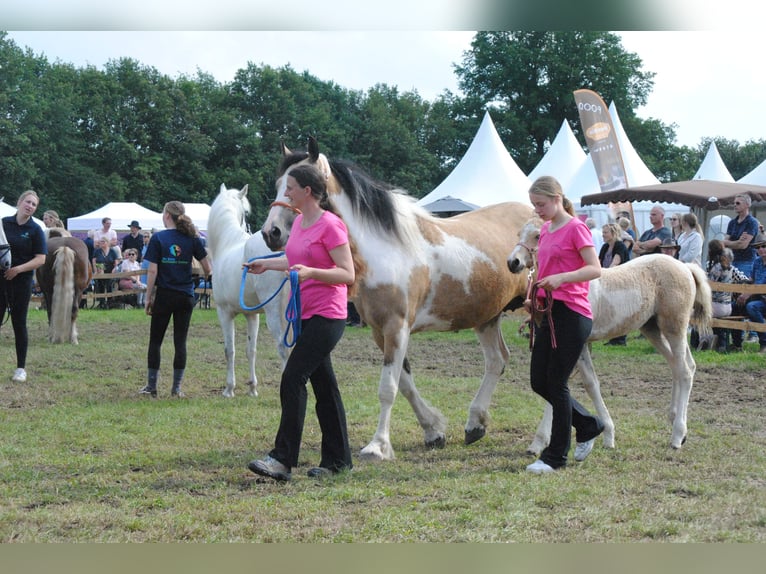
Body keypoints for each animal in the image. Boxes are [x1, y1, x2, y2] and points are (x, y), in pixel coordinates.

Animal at [207, 184, 290, 398]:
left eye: (245, 212)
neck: (227, 242)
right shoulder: (252, 315)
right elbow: (250, 350)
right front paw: (252, 388)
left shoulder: (224, 312)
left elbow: (230, 350)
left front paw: (229, 389)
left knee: (283, 347)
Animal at [260, 137, 534, 461]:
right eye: (278, 183)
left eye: (294, 187)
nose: (271, 233)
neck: (385, 250)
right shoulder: (380, 331)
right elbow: (404, 383)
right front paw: (433, 431)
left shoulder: (397, 326)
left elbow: (388, 388)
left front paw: (377, 446)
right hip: (487, 316)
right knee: (496, 361)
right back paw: (475, 424)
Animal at [507, 219, 713, 451]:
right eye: (519, 233)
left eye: (536, 236)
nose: (513, 262)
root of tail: (685, 266)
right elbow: (556, 383)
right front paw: (538, 442)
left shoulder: (580, 343)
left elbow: (589, 384)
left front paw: (608, 435)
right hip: (653, 329)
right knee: (680, 366)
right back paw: (675, 419)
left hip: (674, 328)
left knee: (684, 371)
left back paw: (677, 435)